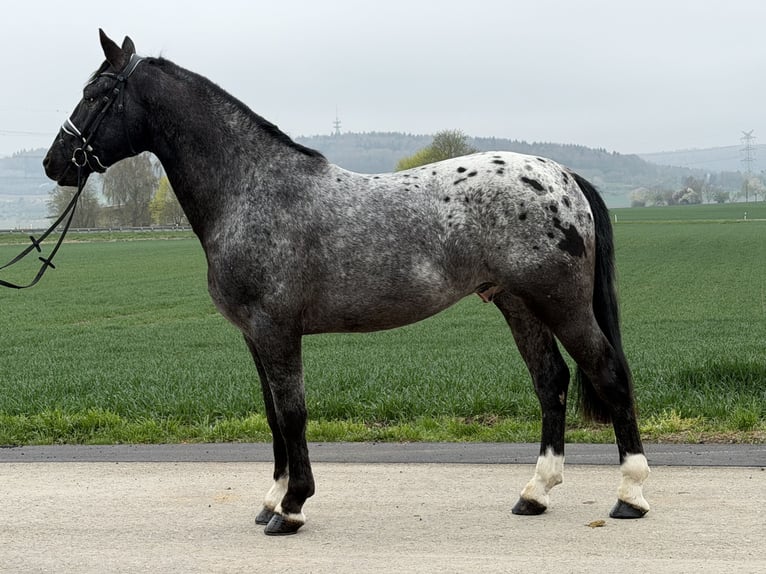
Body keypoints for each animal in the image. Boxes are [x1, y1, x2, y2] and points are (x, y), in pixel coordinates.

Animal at [43, 30, 650, 536]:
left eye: (96, 94)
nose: (55, 163)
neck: (252, 190)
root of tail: (563, 176)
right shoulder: (254, 337)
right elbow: (273, 415)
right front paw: (272, 499)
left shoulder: (276, 331)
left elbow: (292, 413)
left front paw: (291, 508)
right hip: (518, 304)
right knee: (551, 382)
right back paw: (535, 493)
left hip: (561, 304)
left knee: (609, 373)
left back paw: (631, 495)